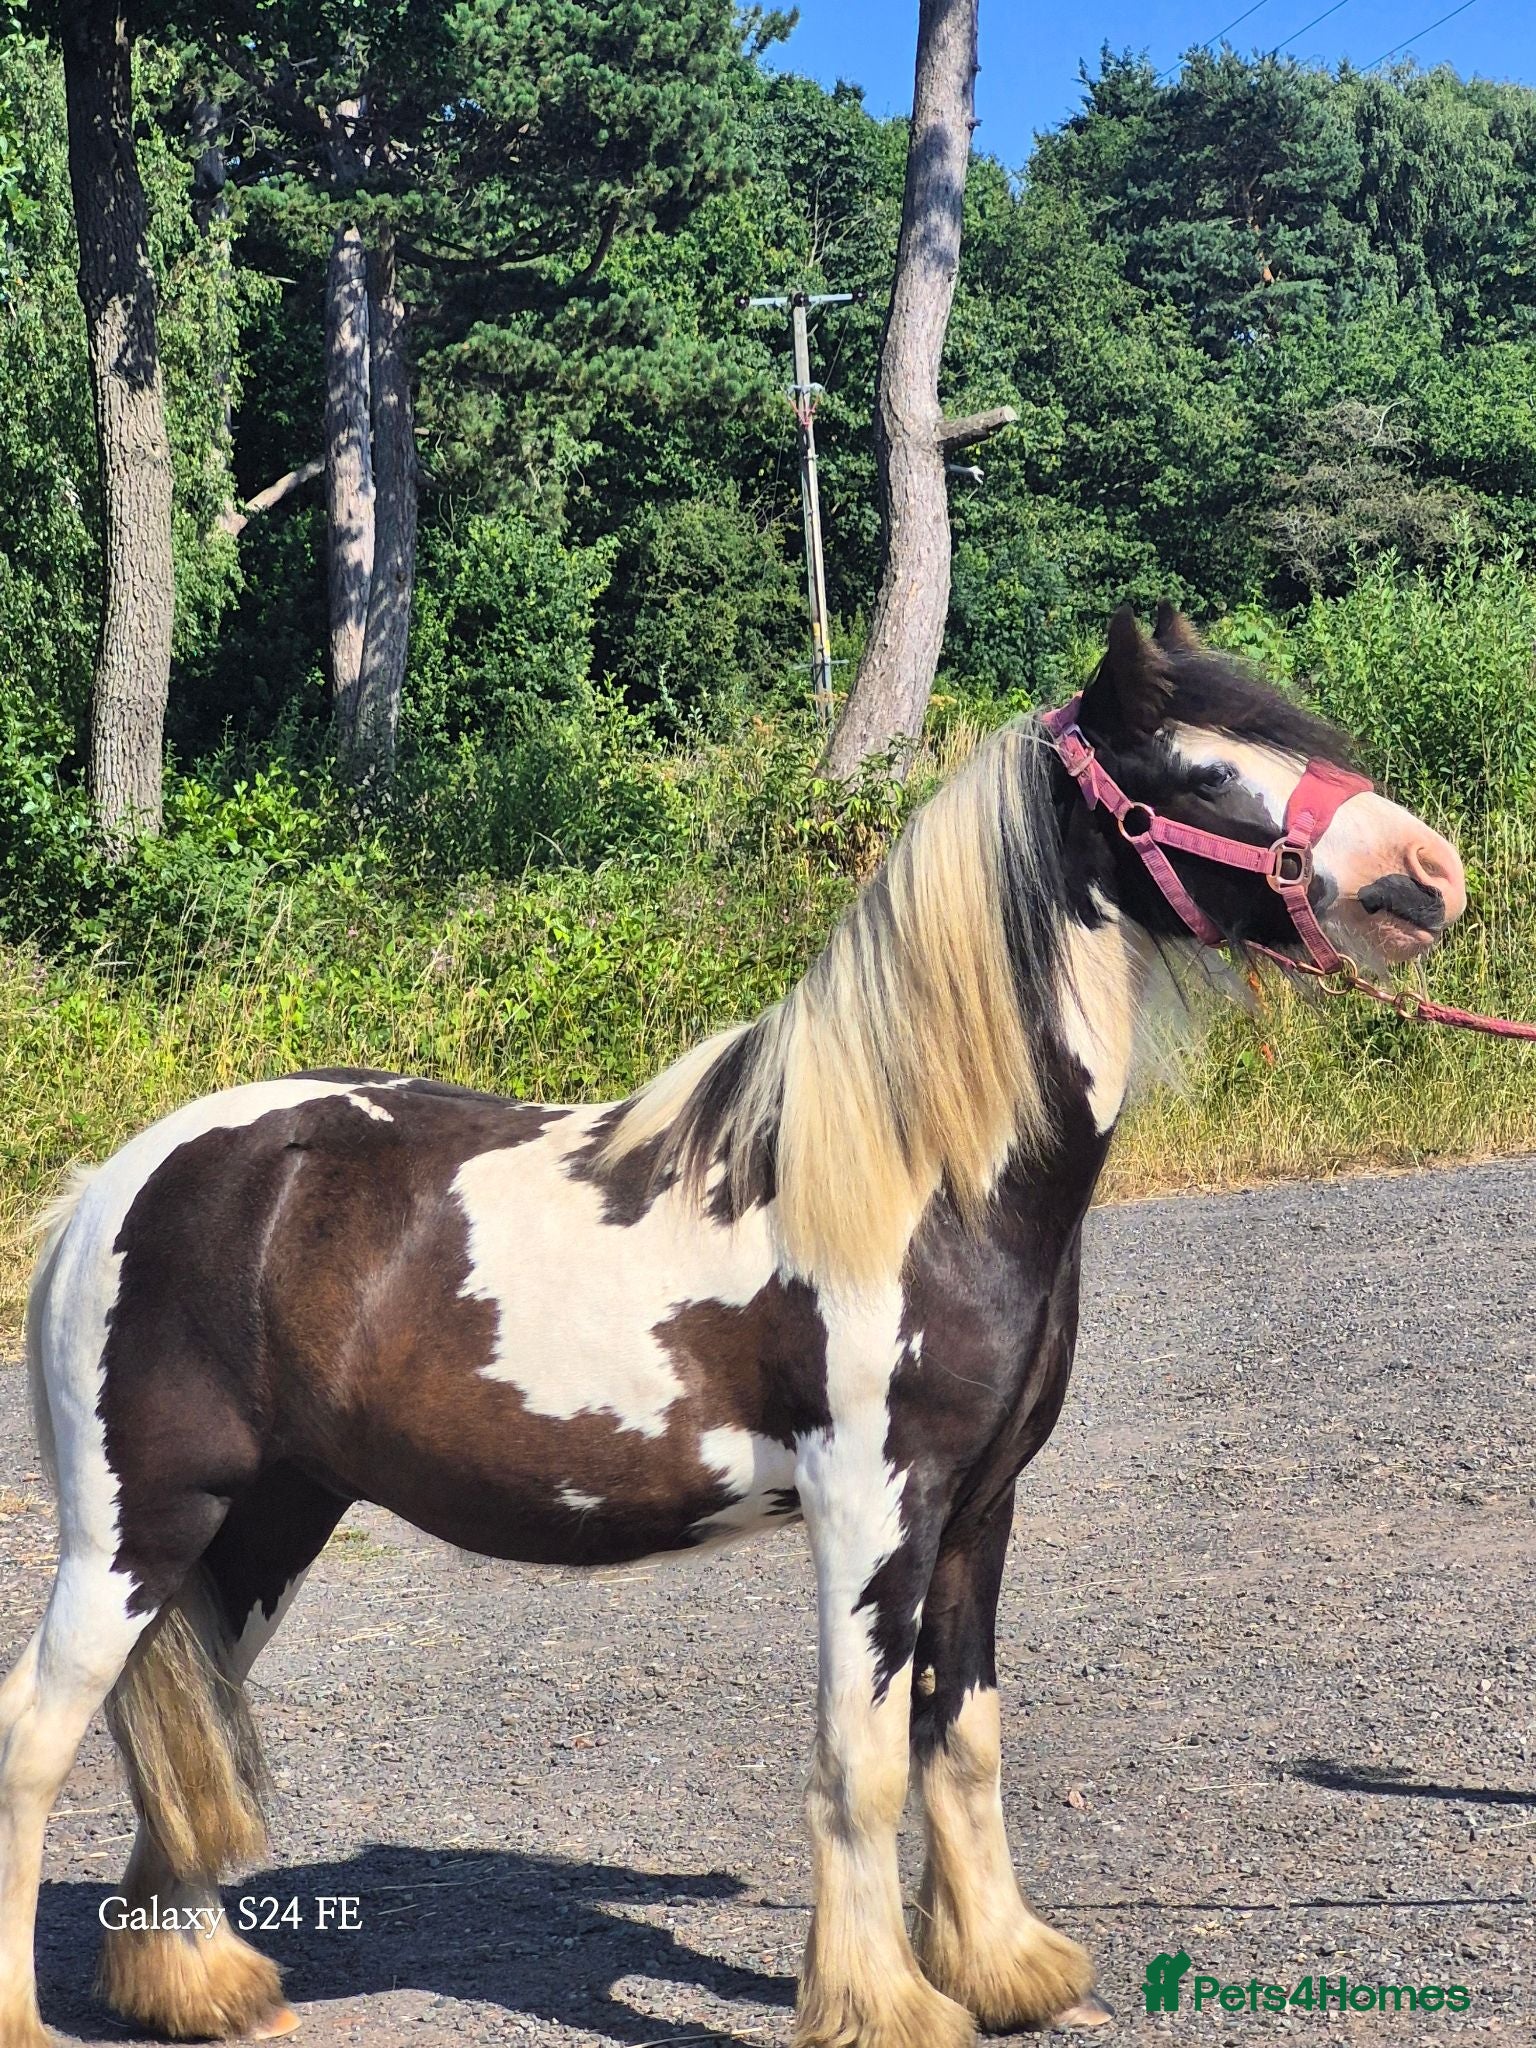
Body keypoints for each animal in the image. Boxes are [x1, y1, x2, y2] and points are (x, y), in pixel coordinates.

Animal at [0, 604, 1466, 2048]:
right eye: (1201, 768)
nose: (1426, 874)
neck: (915, 1174)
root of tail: (113, 1187)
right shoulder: (873, 1507)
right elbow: (861, 1761)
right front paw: (888, 2005)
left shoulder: (978, 1510)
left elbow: (963, 1738)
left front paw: (1003, 1970)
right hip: (140, 1528)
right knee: (36, 1737)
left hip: (264, 1526)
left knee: (185, 1728)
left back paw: (202, 1986)